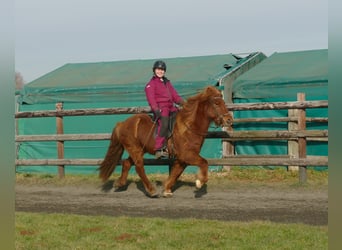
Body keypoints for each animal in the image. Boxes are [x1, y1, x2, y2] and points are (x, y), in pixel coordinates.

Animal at [98, 85, 232, 197]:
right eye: (216, 103)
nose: (229, 120)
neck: (189, 127)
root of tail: (122, 123)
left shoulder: (182, 158)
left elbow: (176, 173)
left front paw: (167, 189)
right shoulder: (187, 155)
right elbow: (204, 162)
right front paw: (200, 182)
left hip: (139, 150)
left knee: (127, 163)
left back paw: (120, 183)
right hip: (134, 149)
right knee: (139, 167)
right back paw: (151, 190)